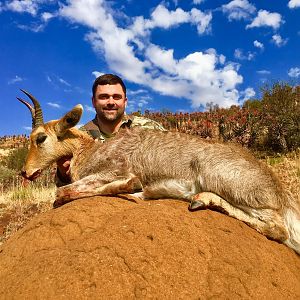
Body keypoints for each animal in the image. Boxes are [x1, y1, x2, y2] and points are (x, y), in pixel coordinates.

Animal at [18, 90, 300, 254]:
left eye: (40, 138)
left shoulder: (113, 170)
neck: (91, 150)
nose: (24, 172)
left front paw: (133, 190)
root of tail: (281, 193)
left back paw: (199, 200)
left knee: (277, 230)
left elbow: (62, 193)